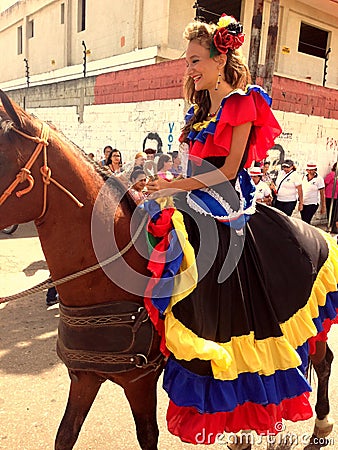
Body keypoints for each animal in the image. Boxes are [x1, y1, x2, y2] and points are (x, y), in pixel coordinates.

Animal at [0, 89, 334, 450]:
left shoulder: (140, 380)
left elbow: (147, 435)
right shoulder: (85, 377)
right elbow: (65, 436)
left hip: (311, 322)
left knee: (322, 361)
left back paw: (320, 426)